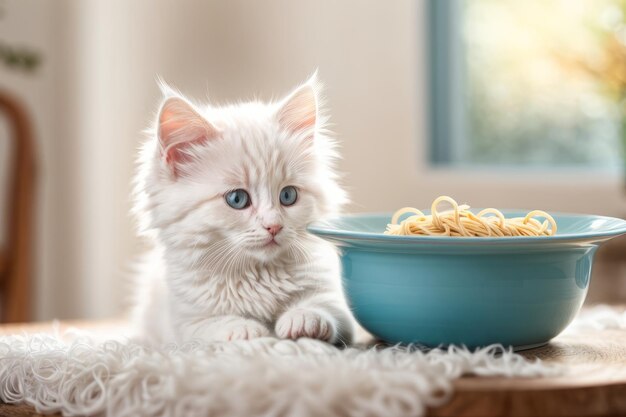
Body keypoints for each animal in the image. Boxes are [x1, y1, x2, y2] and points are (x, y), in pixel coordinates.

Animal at [130, 74, 356, 344]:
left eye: (288, 196)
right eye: (237, 199)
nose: (274, 226)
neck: (257, 274)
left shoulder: (336, 303)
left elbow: (322, 307)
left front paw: (301, 320)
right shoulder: (184, 321)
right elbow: (212, 325)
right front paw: (246, 330)